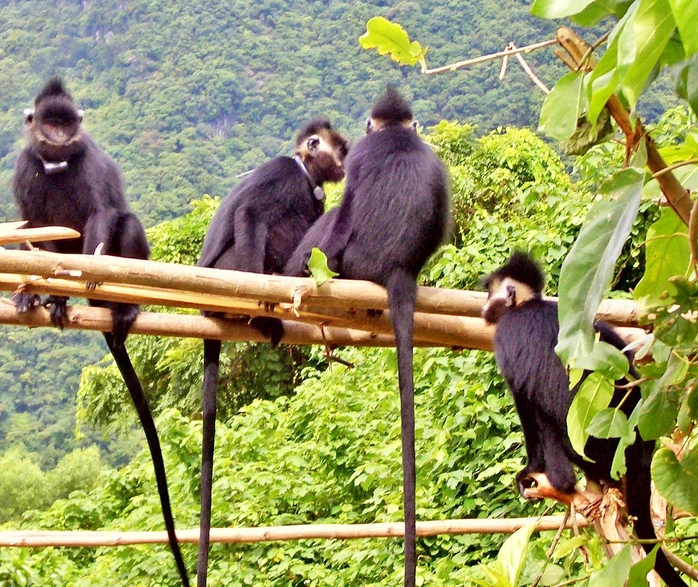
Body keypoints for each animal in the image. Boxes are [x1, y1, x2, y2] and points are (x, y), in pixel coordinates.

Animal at [12, 78, 190, 587]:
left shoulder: (88, 159)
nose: (59, 138)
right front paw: (43, 294)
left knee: (123, 221)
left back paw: (121, 305)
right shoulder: (26, 164)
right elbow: (34, 228)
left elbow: (101, 212)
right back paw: (46, 299)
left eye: (66, 123)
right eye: (49, 122)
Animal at [194, 119, 348, 587]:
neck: (305, 175)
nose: (347, 160)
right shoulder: (283, 174)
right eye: (341, 149)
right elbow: (250, 214)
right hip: (227, 272)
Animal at [284, 87, 452, 587]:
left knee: (335, 225)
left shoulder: (359, 158)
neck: (396, 134)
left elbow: (344, 210)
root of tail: (397, 269)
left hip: (352, 261)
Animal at [482, 253, 688, 587]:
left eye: (490, 292)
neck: (528, 305)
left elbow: (526, 403)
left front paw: (531, 471)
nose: (484, 307)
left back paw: (561, 478)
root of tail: (639, 450)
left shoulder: (508, 335)